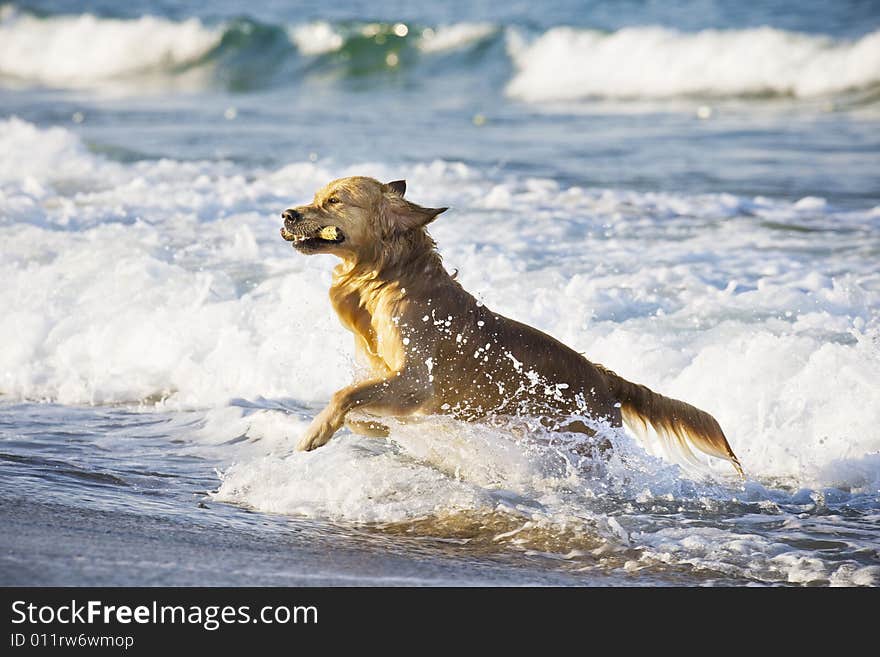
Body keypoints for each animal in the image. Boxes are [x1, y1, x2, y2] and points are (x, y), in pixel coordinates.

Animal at [282, 177, 744, 474]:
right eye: (317, 196)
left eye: (334, 201)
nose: (286, 214)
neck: (390, 278)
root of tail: (605, 378)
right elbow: (360, 409)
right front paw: (373, 427)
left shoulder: (415, 380)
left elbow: (345, 394)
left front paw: (314, 432)